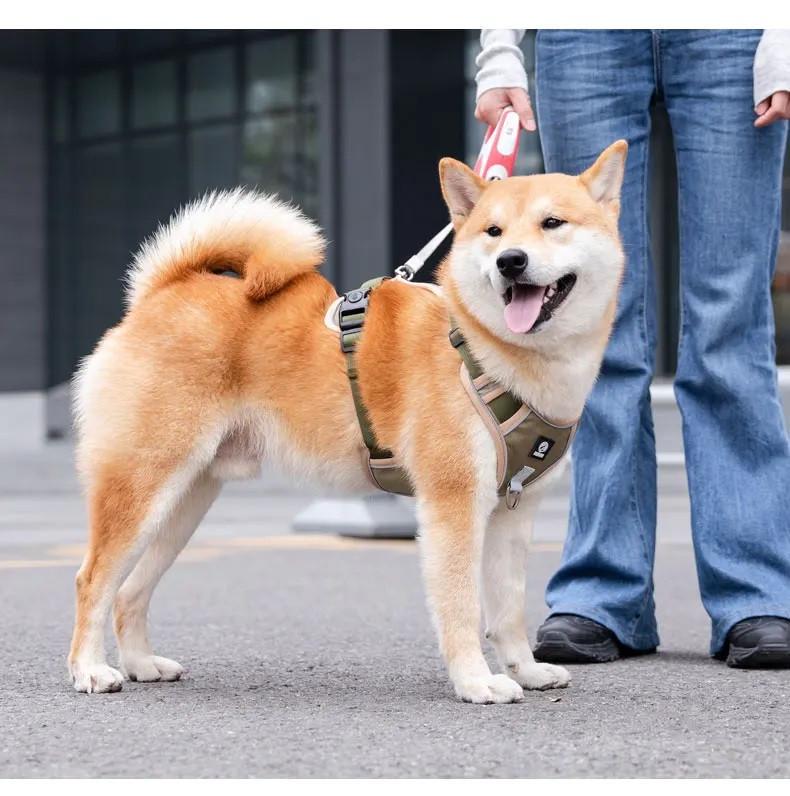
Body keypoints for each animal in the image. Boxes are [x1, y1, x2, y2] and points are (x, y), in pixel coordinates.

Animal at [68, 138, 628, 704]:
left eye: (552, 223)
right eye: (493, 232)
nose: (511, 261)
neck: (482, 349)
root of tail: (160, 293)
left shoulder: (514, 512)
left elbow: (509, 609)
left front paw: (526, 671)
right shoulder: (454, 505)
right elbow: (462, 608)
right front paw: (475, 681)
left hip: (185, 502)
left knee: (129, 591)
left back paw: (141, 663)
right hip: (143, 487)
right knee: (93, 580)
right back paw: (90, 669)